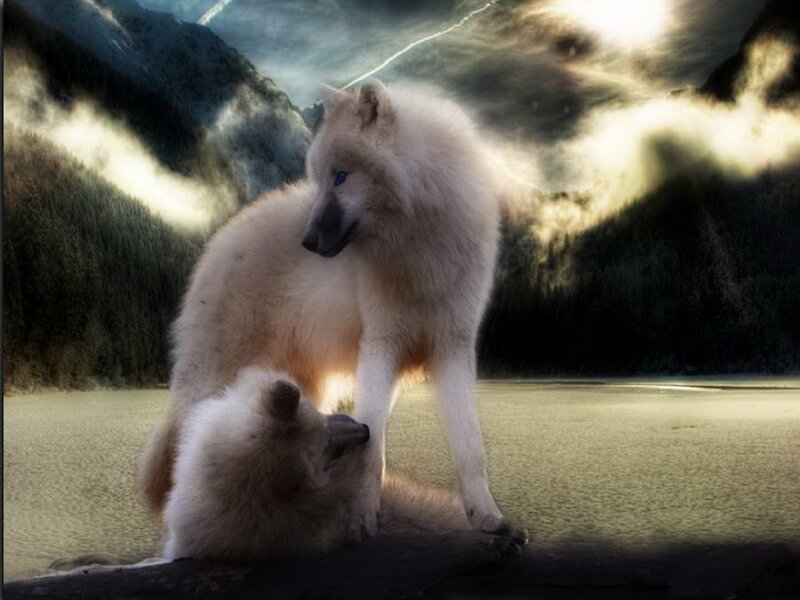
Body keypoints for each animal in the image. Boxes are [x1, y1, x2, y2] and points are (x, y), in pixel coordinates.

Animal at [140, 80, 507, 540]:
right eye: (320, 179)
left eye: (342, 177)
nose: (308, 242)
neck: (421, 244)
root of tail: (219, 240)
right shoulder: (380, 347)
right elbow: (372, 449)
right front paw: (361, 518)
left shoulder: (453, 350)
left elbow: (471, 449)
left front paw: (488, 517)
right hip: (217, 377)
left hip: (303, 390)